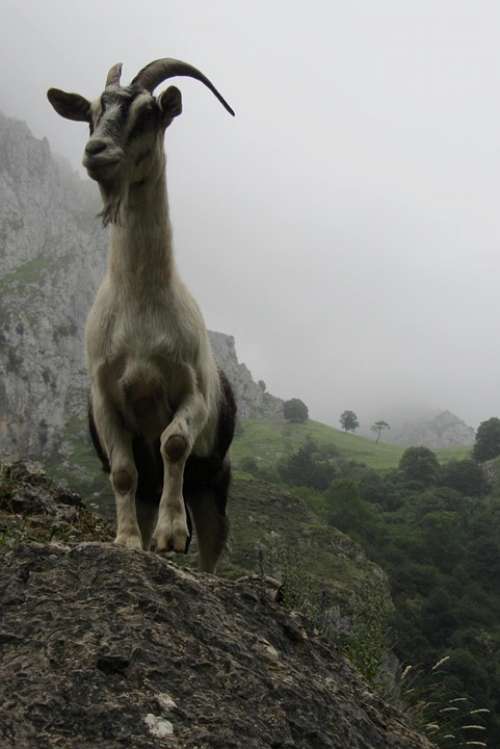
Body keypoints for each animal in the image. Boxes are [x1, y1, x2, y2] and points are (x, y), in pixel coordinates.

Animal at [47, 60, 236, 572]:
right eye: (91, 112)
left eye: (149, 112)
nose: (96, 151)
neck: (141, 307)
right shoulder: (106, 400)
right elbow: (122, 472)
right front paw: (128, 540)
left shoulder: (193, 393)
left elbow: (173, 442)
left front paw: (171, 535)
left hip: (214, 478)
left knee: (212, 544)